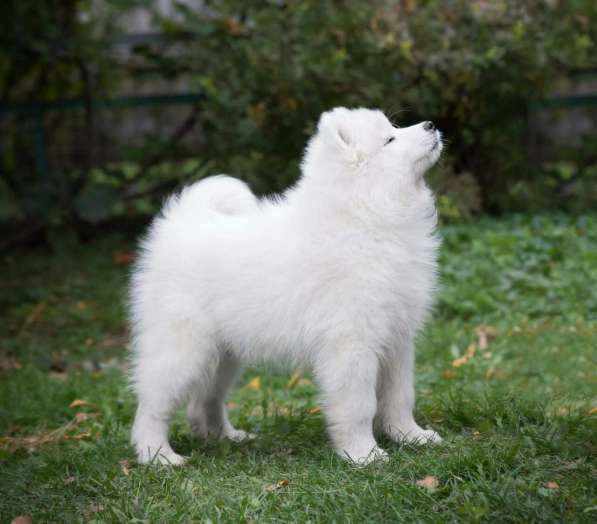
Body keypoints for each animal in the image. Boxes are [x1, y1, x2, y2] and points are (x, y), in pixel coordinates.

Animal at [128, 107, 440, 466]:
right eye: (390, 139)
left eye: (395, 126)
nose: (432, 124)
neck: (365, 214)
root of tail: (182, 220)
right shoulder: (351, 342)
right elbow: (359, 404)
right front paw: (364, 454)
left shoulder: (398, 337)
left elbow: (400, 395)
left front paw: (411, 436)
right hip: (182, 347)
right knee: (153, 404)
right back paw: (158, 455)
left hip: (225, 353)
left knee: (205, 399)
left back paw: (226, 437)